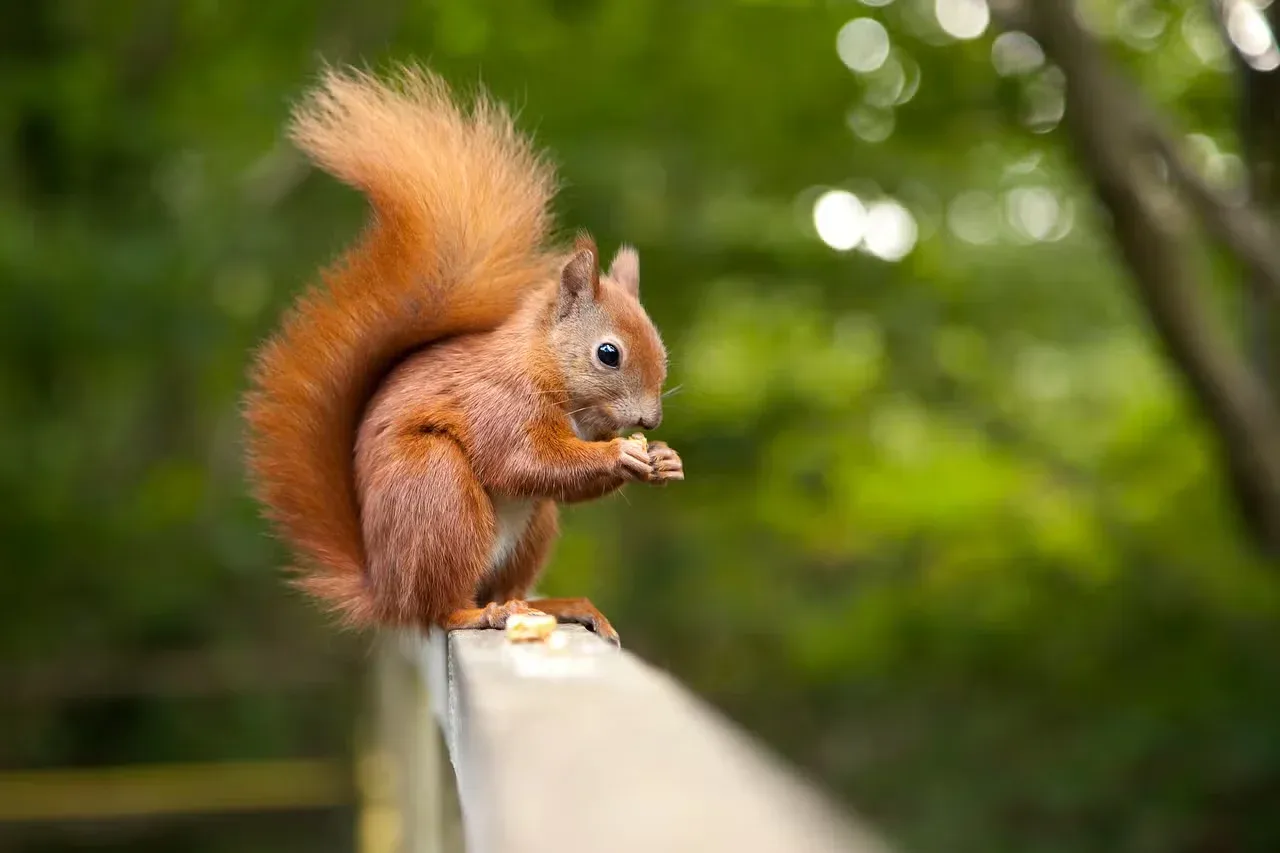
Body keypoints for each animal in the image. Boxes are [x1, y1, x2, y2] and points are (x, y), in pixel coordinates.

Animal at [241, 65, 682, 645]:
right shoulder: (498, 403)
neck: (543, 367)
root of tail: (386, 591)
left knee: (504, 584)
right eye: (608, 353)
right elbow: (527, 460)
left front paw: (665, 459)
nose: (650, 422)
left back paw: (554, 605)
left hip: (529, 529)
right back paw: (476, 614)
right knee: (440, 607)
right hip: (438, 492)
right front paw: (621, 455)